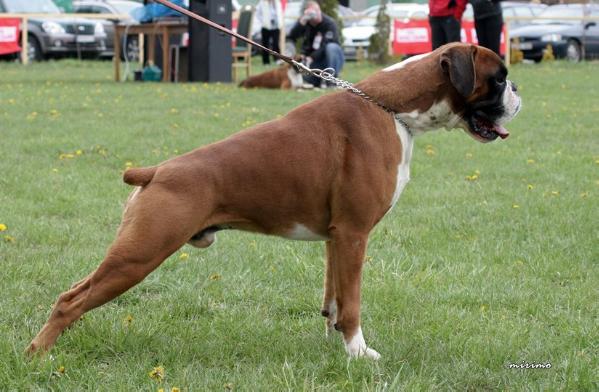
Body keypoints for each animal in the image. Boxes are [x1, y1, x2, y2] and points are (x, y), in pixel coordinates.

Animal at [28, 43, 520, 358]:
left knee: (73, 293)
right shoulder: (355, 234)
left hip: (134, 250)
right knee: (71, 301)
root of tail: (157, 171)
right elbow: (354, 302)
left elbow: (334, 298)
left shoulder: (337, 239)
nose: (519, 96)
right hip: (141, 253)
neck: (392, 108)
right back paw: (39, 355)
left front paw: (335, 344)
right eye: (499, 80)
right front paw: (360, 353)